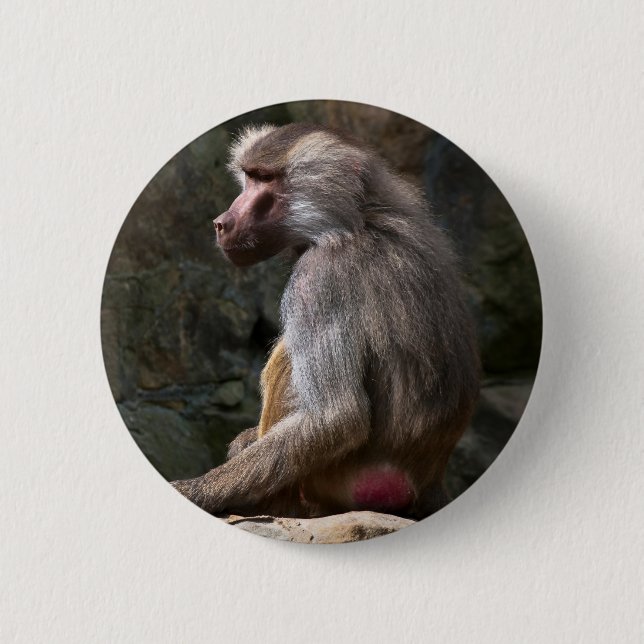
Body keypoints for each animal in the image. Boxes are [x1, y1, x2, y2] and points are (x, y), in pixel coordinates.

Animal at [171, 122, 480, 520]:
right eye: (249, 176)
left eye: (267, 180)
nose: (221, 223)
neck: (359, 220)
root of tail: (428, 487)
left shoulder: (318, 278)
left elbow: (336, 416)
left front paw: (196, 490)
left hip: (331, 486)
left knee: (288, 360)